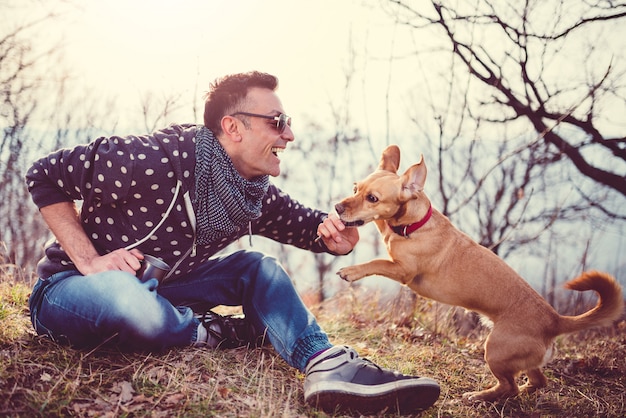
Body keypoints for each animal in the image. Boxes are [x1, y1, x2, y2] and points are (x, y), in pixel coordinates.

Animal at [334, 145, 620, 402]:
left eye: (373, 198)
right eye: (355, 188)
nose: (337, 207)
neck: (415, 224)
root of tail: (555, 320)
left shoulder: (403, 271)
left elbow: (377, 262)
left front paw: (351, 271)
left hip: (494, 350)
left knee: (509, 386)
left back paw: (479, 396)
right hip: (521, 359)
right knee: (537, 381)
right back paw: (518, 392)